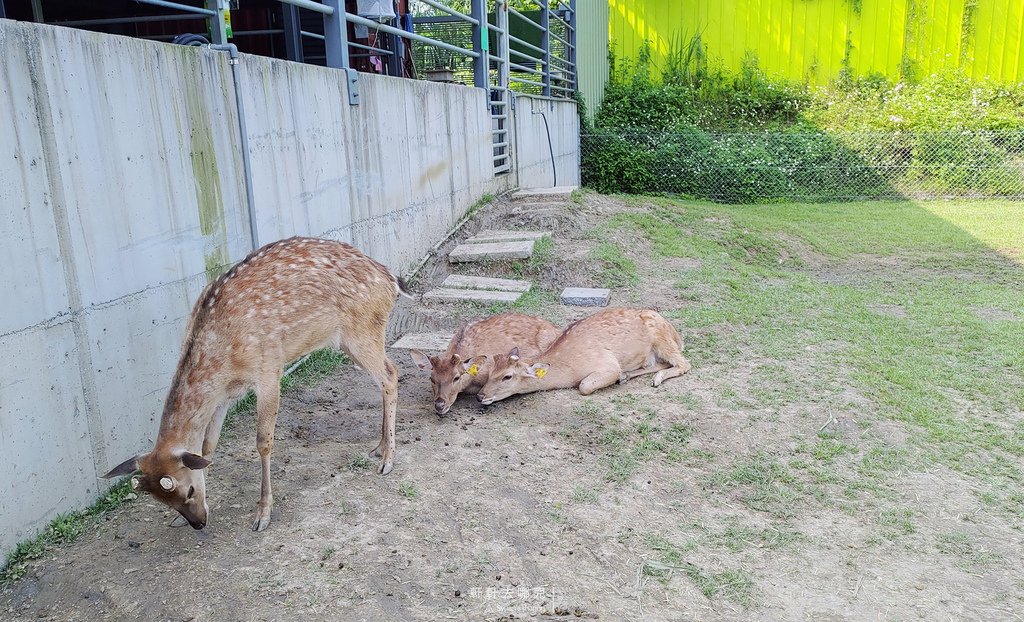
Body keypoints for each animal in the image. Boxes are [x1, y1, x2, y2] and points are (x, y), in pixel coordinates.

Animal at [101, 235, 409, 532]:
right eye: (165, 502)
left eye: (188, 491)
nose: (198, 523)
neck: (223, 360)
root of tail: (392, 280)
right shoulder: (224, 394)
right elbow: (208, 446)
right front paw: (178, 519)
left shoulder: (269, 368)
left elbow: (263, 441)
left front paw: (263, 514)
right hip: (352, 339)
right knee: (386, 375)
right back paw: (379, 447)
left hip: (363, 331)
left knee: (390, 375)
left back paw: (388, 460)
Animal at [475, 309, 692, 405]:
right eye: (490, 372)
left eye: (507, 376)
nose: (480, 395)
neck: (571, 369)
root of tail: (676, 334)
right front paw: (623, 376)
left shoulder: (607, 364)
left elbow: (585, 386)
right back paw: (629, 376)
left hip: (663, 341)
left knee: (684, 363)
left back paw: (656, 380)